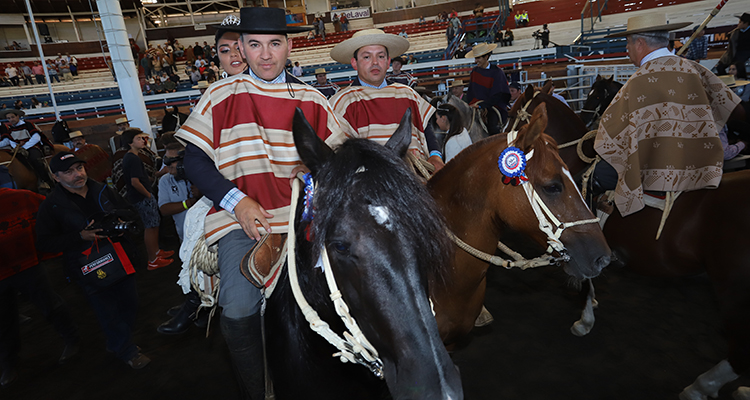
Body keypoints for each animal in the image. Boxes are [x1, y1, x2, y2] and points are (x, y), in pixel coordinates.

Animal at [506, 83, 750, 396]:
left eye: (513, 113)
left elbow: (586, 281)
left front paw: (585, 319)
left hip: (734, 293)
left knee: (740, 353)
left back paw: (699, 387)